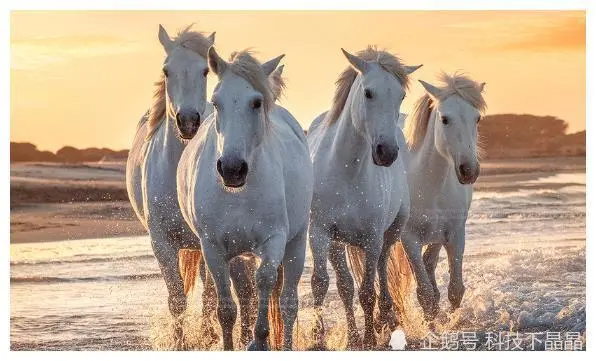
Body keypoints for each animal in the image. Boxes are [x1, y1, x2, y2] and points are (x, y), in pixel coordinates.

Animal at [124, 24, 258, 346]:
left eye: (204, 71)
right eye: (166, 70)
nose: (188, 121)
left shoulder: (213, 243)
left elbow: (214, 296)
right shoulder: (161, 243)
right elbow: (177, 300)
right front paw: (180, 342)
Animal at [177, 47, 314, 348]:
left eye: (256, 102)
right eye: (216, 102)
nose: (231, 168)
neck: (239, 195)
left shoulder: (274, 240)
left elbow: (264, 281)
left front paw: (259, 340)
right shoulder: (213, 248)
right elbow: (226, 309)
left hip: (296, 243)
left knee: (288, 303)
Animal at [310, 46, 422, 348]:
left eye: (401, 95)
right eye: (369, 93)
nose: (387, 152)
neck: (346, 170)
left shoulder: (372, 238)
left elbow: (367, 291)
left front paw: (370, 338)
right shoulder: (320, 234)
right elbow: (324, 284)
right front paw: (322, 338)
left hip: (390, 233)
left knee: (382, 270)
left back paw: (386, 317)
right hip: (338, 243)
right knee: (347, 285)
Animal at [394, 72, 486, 318]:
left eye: (477, 119)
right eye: (445, 119)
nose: (469, 170)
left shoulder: (455, 234)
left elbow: (455, 290)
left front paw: (453, 321)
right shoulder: (409, 239)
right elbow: (425, 294)